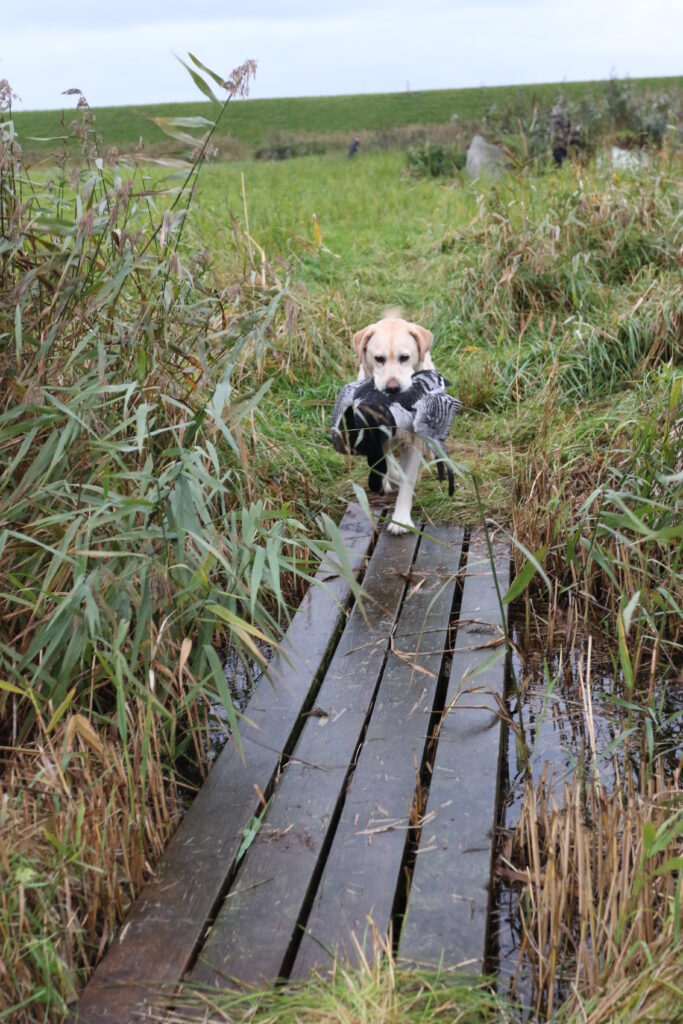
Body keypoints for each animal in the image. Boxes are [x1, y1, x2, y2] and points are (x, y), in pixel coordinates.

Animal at [350, 315, 436, 532]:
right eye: (379, 359)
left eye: (404, 357)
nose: (393, 387)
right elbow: (388, 466)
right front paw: (393, 479)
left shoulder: (412, 442)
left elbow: (407, 481)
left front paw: (401, 520)